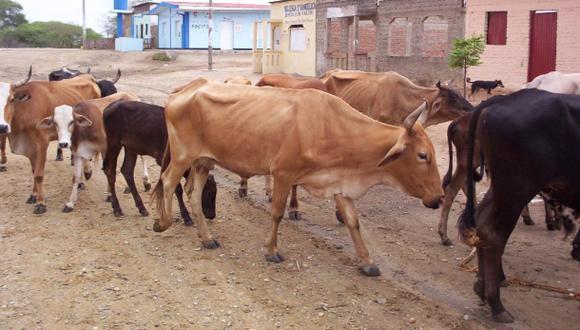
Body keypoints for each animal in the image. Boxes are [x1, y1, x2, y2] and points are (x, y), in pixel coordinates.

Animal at [3, 72, 101, 214]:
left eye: (11, 99)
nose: (2, 126)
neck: (25, 109)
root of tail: (89, 77)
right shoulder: (31, 148)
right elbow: (34, 171)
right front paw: (33, 195)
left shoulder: (42, 144)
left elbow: (38, 174)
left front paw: (41, 203)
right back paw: (82, 181)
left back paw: (86, 173)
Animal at [151, 78, 444, 278]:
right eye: (422, 155)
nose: (439, 198)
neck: (333, 128)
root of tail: (188, 87)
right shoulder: (283, 174)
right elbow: (277, 213)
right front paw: (271, 250)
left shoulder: (338, 183)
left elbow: (353, 222)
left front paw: (368, 262)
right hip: (182, 156)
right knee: (167, 181)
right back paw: (163, 222)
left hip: (202, 163)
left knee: (193, 194)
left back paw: (206, 238)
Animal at [458, 87, 580, 322]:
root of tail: (500, 100)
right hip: (516, 189)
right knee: (493, 234)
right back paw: (496, 303)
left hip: (502, 189)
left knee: (481, 223)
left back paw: (482, 288)